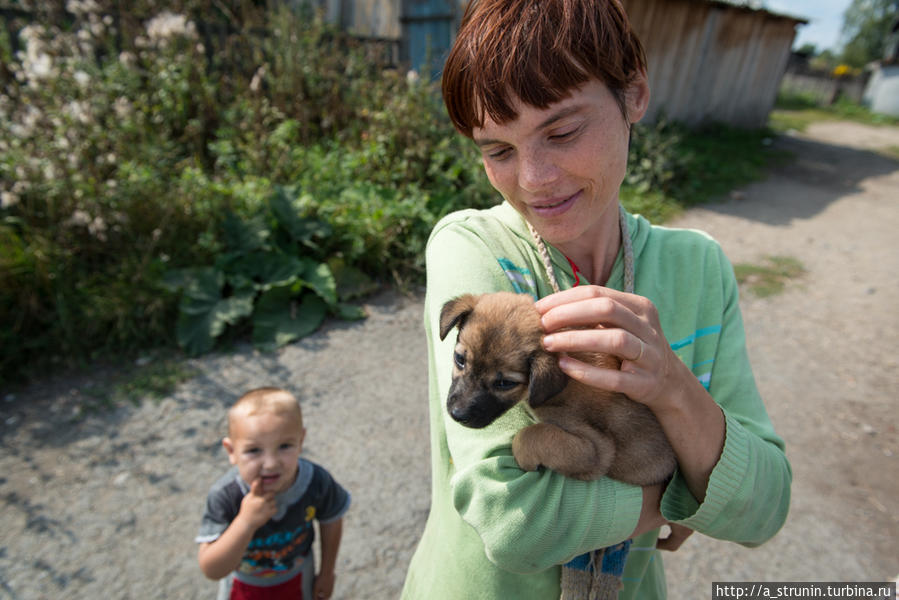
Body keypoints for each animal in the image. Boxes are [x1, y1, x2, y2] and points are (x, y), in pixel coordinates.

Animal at [440, 292, 680, 486]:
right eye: (460, 359)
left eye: (504, 384)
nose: (457, 414)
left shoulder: (596, 449)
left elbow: (531, 435)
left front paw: (526, 458)